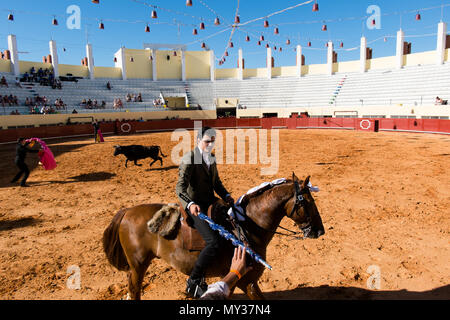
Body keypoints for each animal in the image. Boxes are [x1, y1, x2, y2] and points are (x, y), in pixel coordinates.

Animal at [102, 174, 324, 298]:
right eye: (307, 202)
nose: (319, 230)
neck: (247, 226)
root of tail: (128, 211)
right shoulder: (248, 281)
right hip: (138, 264)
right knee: (134, 289)